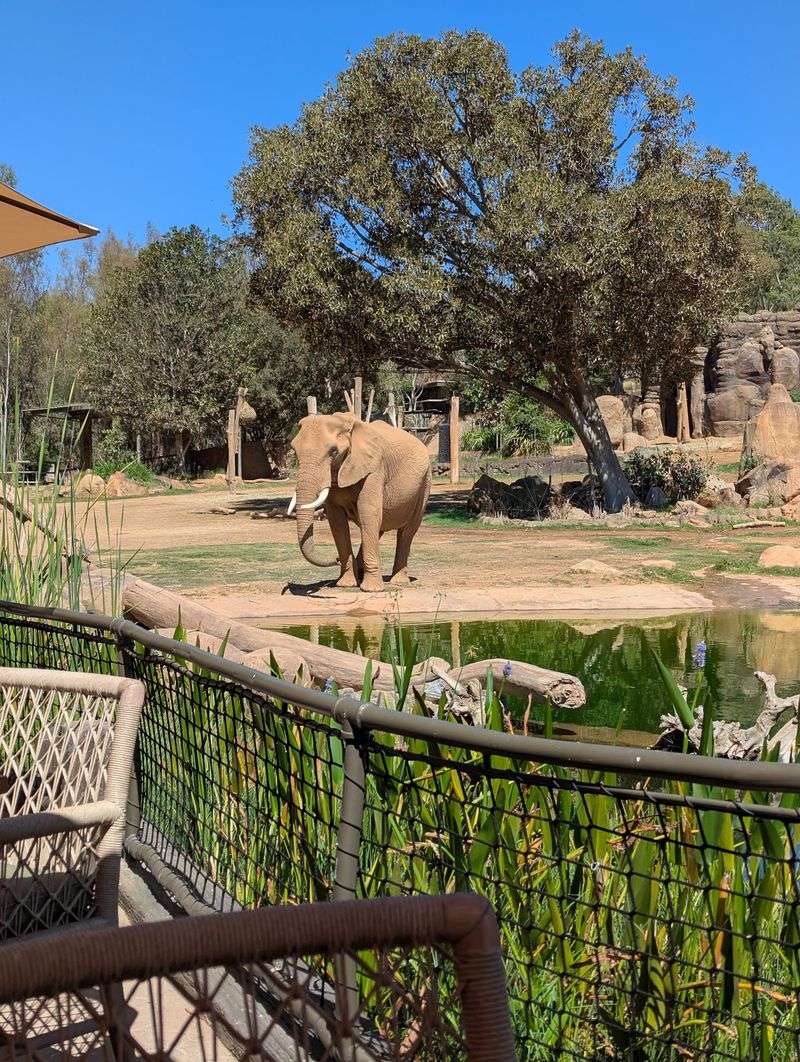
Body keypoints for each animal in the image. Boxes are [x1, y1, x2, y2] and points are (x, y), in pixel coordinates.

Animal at [288, 412, 431, 593]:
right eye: (294, 450)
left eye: (333, 452)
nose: (335, 559)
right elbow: (337, 522)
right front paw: (345, 584)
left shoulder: (375, 470)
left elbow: (368, 513)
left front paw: (371, 589)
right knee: (377, 528)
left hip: (425, 483)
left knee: (407, 531)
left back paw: (398, 582)